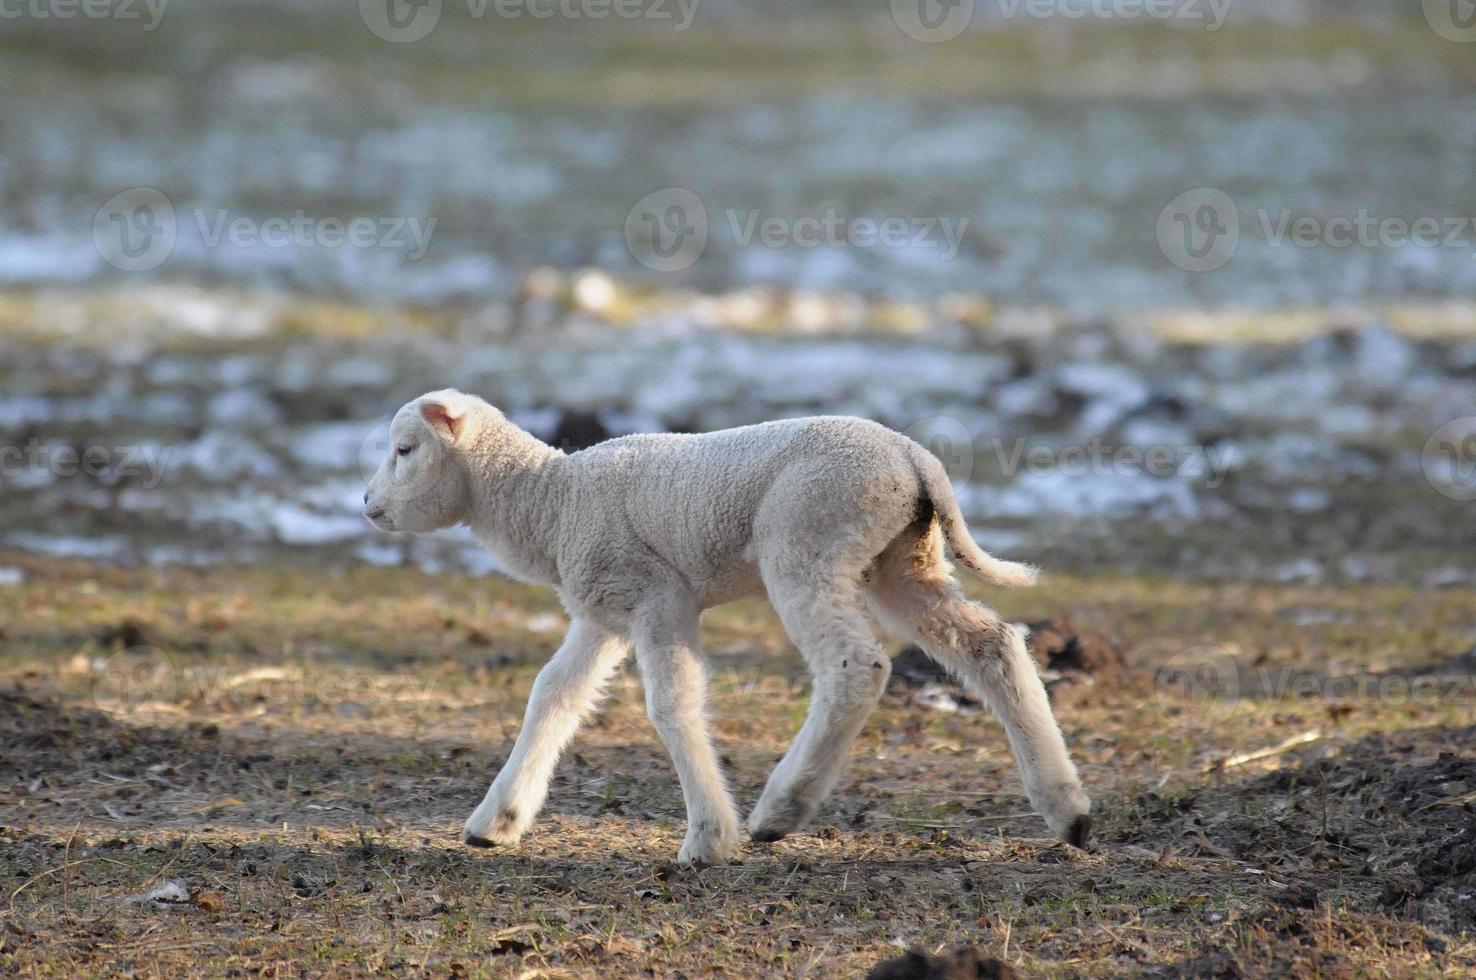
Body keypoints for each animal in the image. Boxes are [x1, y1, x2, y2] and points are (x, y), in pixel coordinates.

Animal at [363, 386, 1092, 861]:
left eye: (404, 448)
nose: (367, 504)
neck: (549, 501)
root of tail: (916, 460)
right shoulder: (604, 611)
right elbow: (554, 695)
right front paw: (497, 820)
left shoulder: (656, 594)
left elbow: (671, 703)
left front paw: (710, 838)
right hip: (901, 559)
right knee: (992, 644)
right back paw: (1068, 810)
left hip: (805, 543)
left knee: (856, 666)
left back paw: (780, 811)